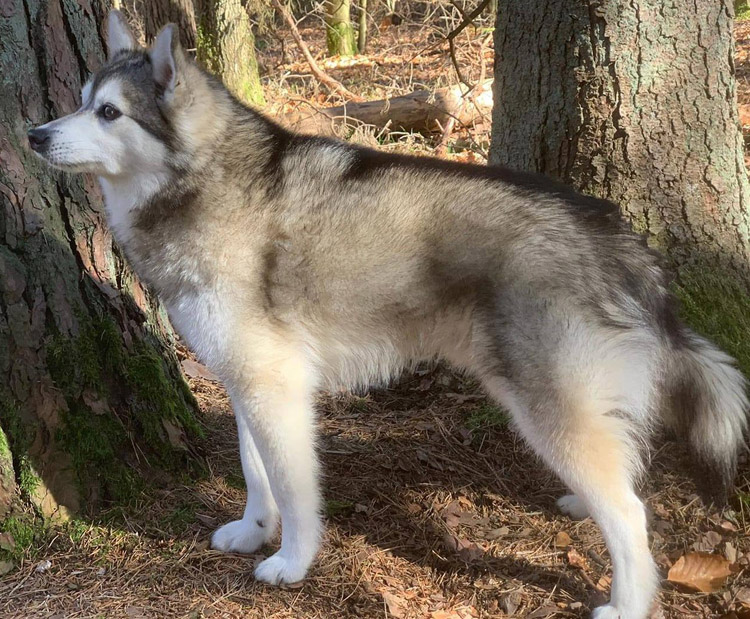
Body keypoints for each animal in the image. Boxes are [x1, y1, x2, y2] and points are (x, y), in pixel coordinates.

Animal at [28, 11, 748, 618]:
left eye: (109, 111)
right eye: (80, 100)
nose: (34, 134)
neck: (202, 181)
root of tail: (614, 235)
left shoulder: (278, 391)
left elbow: (295, 489)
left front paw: (292, 560)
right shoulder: (246, 386)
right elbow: (255, 473)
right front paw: (254, 530)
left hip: (547, 407)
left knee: (632, 514)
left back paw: (627, 600)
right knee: (621, 469)